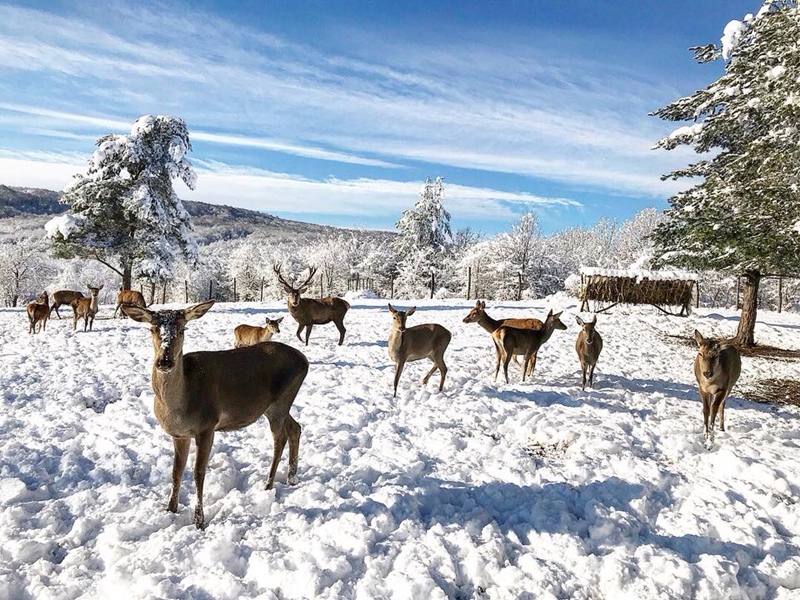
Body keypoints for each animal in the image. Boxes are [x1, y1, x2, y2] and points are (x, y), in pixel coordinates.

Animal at [122, 302, 310, 528]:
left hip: (281, 401)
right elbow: (176, 471)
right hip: (273, 406)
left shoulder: (207, 426)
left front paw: (199, 520)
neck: (177, 408)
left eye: (183, 329)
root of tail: (304, 360)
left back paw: (268, 484)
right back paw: (291, 478)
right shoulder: (179, 434)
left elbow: (198, 472)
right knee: (295, 428)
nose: (164, 361)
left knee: (279, 438)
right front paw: (170, 509)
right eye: (152, 329)